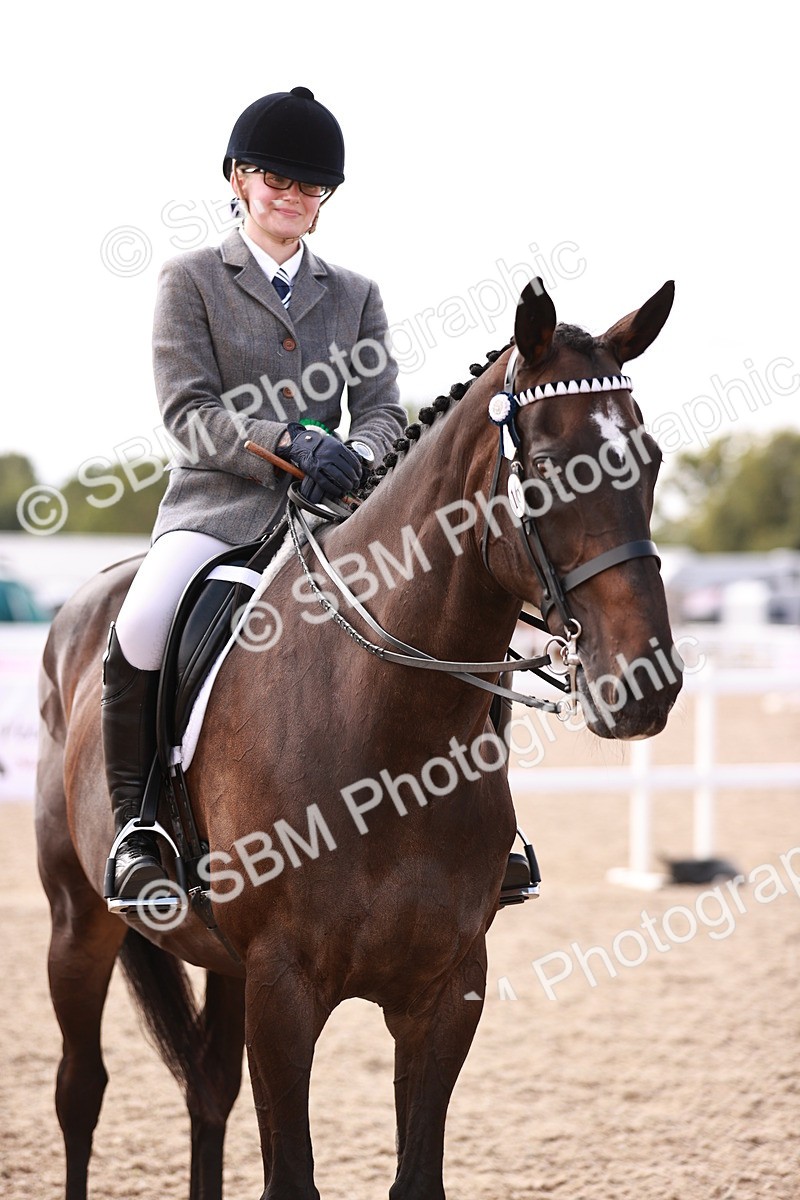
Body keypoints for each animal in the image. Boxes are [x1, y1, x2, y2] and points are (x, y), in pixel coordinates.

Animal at [35, 275, 681, 1200]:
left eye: (652, 458)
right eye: (553, 466)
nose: (646, 684)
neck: (388, 731)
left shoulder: (447, 989)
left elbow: (416, 1175)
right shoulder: (282, 989)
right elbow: (291, 1176)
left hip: (221, 962)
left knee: (207, 1091)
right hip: (78, 916)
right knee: (80, 1090)